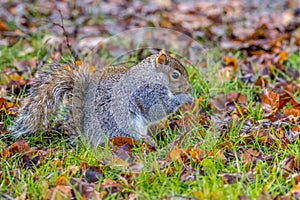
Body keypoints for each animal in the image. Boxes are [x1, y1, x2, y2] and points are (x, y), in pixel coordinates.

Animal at [10, 50, 193, 145]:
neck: (152, 76)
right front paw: (185, 98)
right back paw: (146, 140)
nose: (189, 87)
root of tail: (87, 138)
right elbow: (157, 108)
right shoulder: (146, 92)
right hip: (121, 122)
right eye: (175, 75)